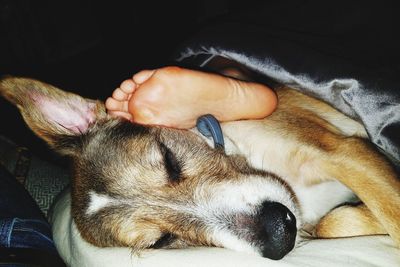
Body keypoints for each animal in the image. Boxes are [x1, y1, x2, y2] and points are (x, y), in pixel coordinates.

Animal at [0, 73, 398, 260]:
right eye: (162, 240)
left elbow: (388, 209)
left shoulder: (343, 151)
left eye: (168, 159)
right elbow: (335, 222)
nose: (279, 233)